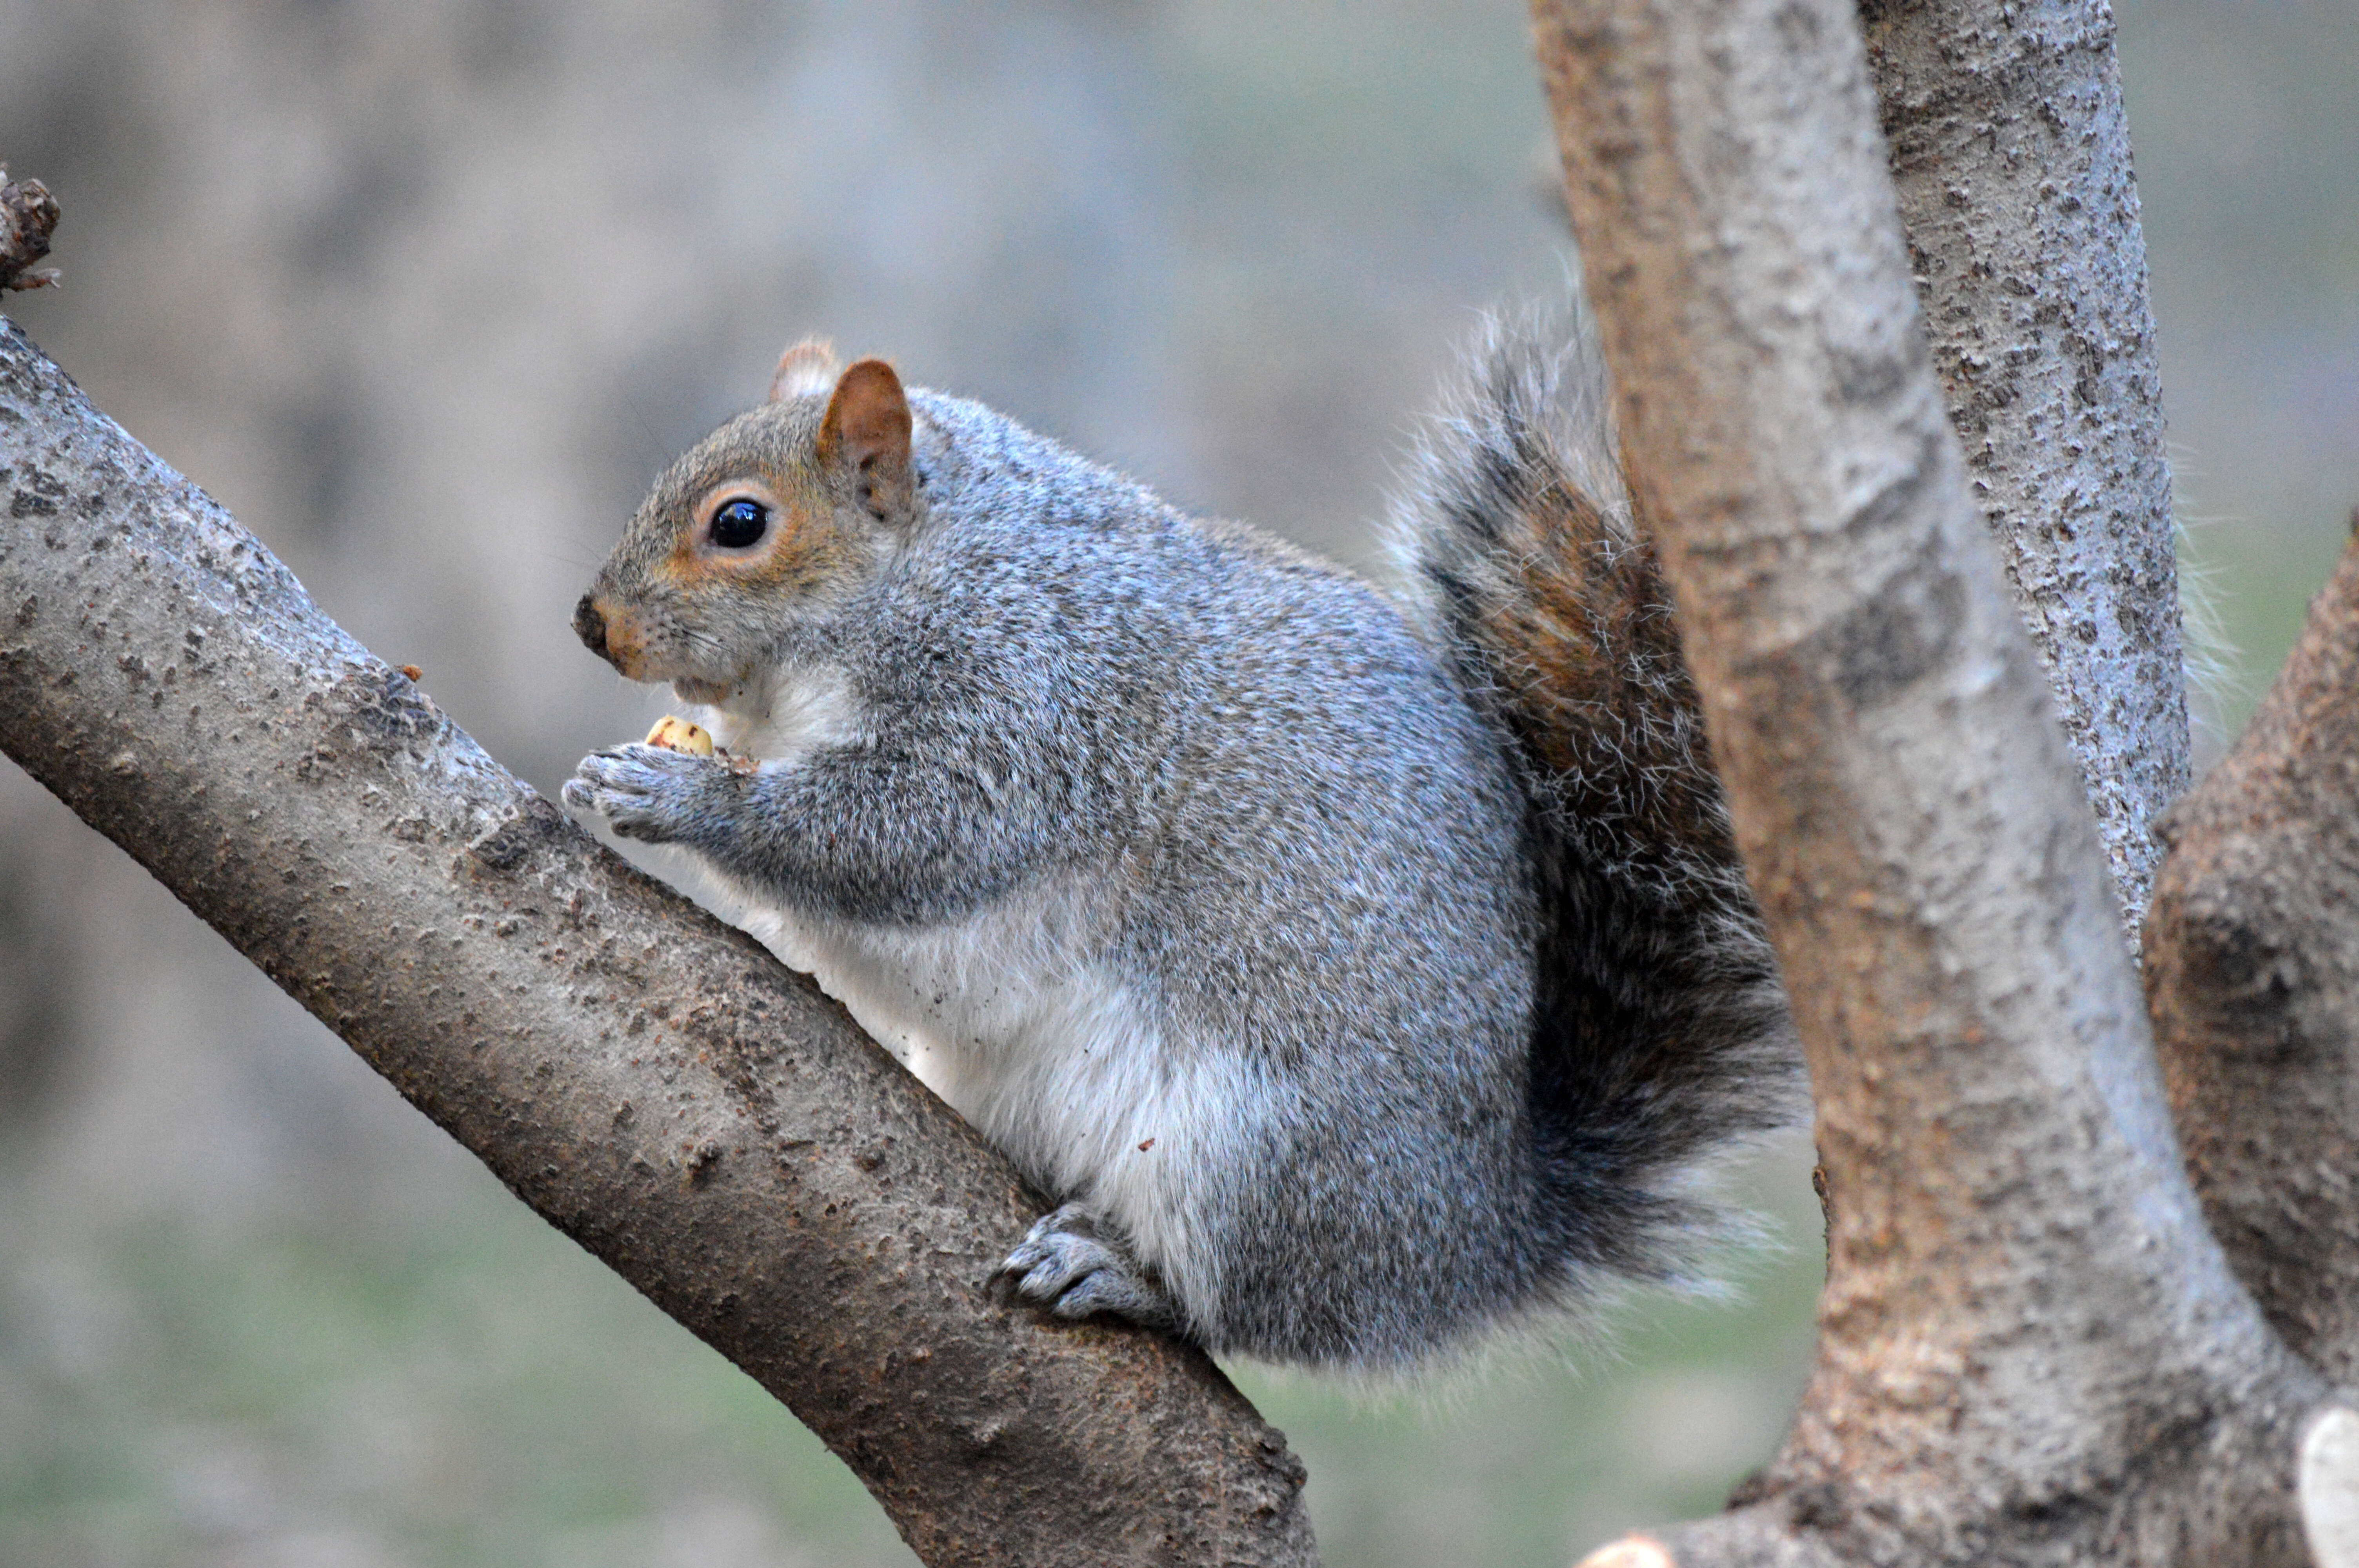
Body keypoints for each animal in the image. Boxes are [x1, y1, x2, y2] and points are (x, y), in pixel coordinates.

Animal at [561, 321, 1793, 1367]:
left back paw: (1119, 1274)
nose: (592, 623)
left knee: (1250, 1310)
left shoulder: (1026, 709)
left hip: (1251, 1155)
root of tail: (1477, 1241)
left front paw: (676, 796)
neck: (925, 574)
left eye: (739, 524)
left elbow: (907, 838)